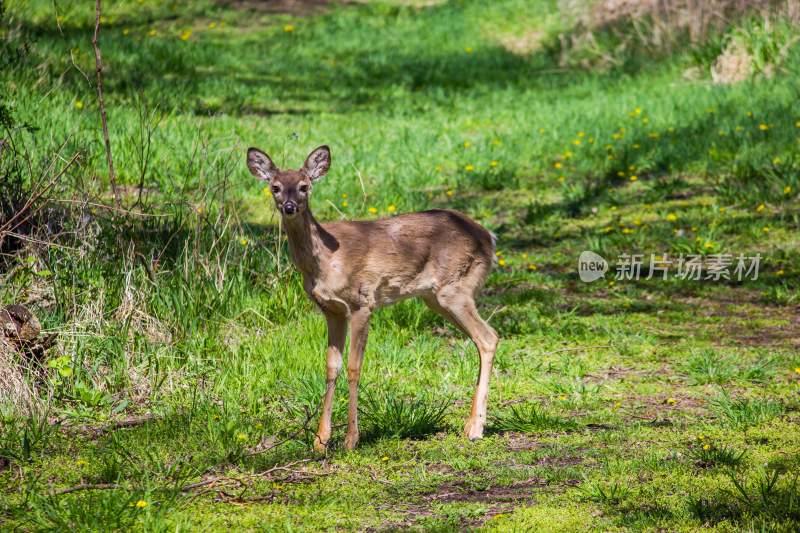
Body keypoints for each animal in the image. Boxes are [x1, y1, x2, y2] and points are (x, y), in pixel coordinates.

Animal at [248, 144, 500, 448]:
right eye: (274, 187)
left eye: (304, 186)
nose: (289, 207)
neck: (325, 262)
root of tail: (488, 236)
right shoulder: (331, 310)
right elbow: (331, 367)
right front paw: (320, 440)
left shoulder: (362, 302)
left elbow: (354, 367)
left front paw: (350, 440)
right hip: (436, 296)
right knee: (483, 338)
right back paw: (472, 425)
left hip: (455, 288)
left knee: (489, 337)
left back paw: (475, 428)